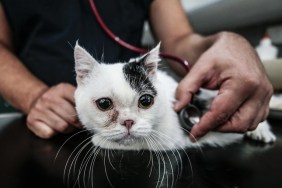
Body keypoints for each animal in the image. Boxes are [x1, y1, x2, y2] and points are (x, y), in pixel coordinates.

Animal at [74, 42, 276, 151]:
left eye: (145, 101)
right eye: (104, 104)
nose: (128, 122)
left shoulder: (168, 139)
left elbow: (138, 141)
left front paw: (99, 139)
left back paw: (260, 131)